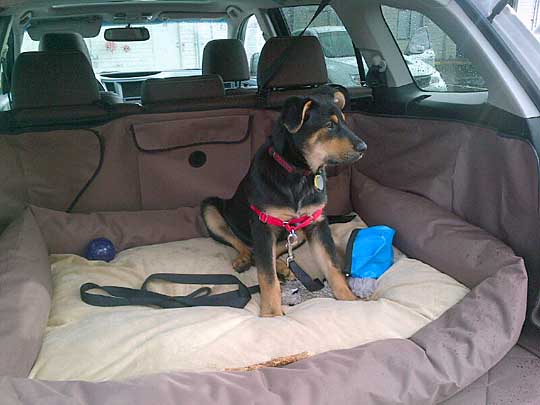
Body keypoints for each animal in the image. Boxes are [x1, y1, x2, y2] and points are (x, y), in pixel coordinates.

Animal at [202, 87, 368, 316]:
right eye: (330, 125)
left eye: (344, 122)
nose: (364, 147)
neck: (298, 174)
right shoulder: (263, 224)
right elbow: (267, 277)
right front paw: (272, 314)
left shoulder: (316, 223)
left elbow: (332, 265)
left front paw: (349, 299)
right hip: (210, 209)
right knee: (246, 247)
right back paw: (246, 259)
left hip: (299, 232)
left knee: (272, 251)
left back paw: (281, 266)